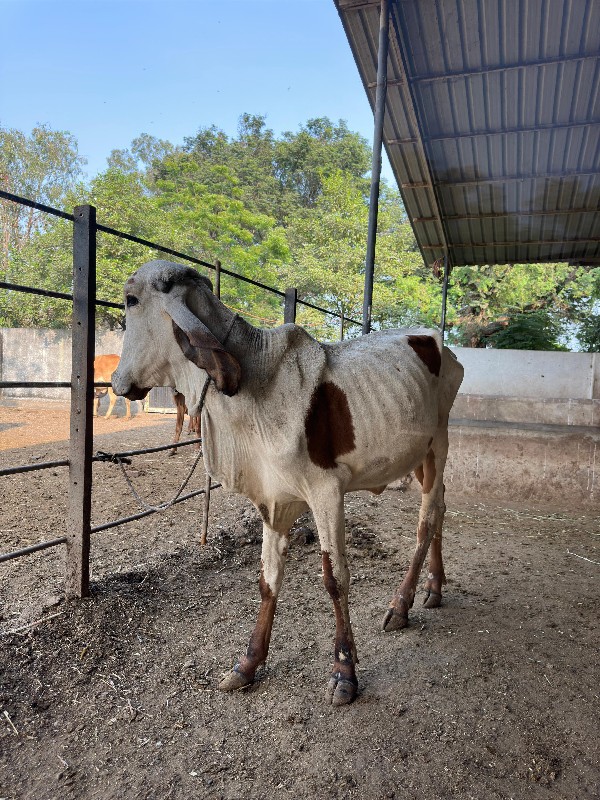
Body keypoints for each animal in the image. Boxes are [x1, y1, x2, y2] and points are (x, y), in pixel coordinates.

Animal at [113, 260, 468, 704]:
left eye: (131, 300)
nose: (116, 381)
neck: (254, 390)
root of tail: (440, 343)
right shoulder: (273, 499)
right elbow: (268, 580)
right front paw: (247, 664)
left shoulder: (326, 493)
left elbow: (335, 579)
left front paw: (345, 671)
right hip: (418, 454)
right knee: (440, 506)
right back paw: (434, 587)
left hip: (439, 441)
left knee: (426, 518)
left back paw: (401, 605)